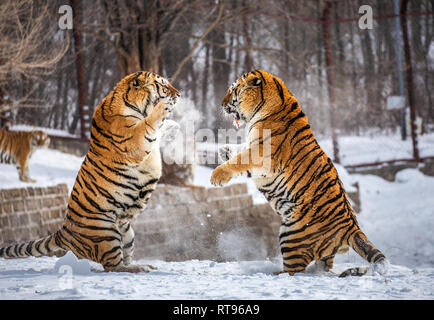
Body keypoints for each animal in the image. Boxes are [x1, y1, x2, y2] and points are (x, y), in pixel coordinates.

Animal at [0, 70, 180, 272]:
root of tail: (63, 230)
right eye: (163, 85)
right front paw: (165, 107)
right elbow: (149, 124)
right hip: (105, 231)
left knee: (122, 258)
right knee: (112, 266)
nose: (179, 94)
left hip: (126, 231)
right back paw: (138, 268)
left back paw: (141, 265)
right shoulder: (133, 140)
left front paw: (175, 127)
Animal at [211, 69, 390, 278]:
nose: (221, 104)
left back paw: (268, 273)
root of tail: (352, 227)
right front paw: (224, 150)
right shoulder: (252, 145)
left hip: (292, 235)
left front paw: (217, 176)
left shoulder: (261, 155)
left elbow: (239, 160)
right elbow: (239, 149)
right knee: (322, 268)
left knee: (294, 271)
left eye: (233, 89)